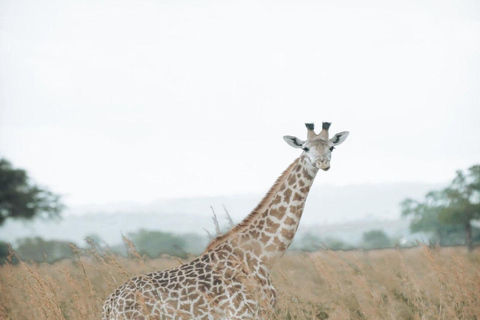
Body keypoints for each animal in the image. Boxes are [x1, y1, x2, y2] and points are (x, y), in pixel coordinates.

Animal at [103, 121, 348, 318]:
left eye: (331, 147)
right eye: (305, 147)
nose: (323, 162)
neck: (262, 256)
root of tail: (109, 304)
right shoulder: (244, 315)